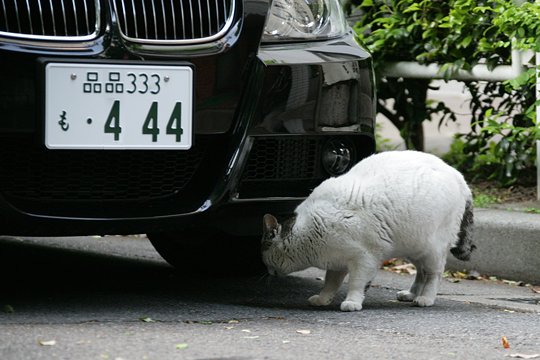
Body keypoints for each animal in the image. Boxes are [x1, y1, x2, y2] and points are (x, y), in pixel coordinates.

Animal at [264, 150, 474, 310]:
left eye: (264, 256)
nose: (268, 271)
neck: (309, 232)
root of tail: (459, 176)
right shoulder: (336, 262)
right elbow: (330, 283)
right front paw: (323, 299)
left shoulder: (364, 258)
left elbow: (357, 283)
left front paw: (352, 302)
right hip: (414, 246)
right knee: (421, 272)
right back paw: (411, 294)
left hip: (432, 249)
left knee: (433, 274)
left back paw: (425, 298)